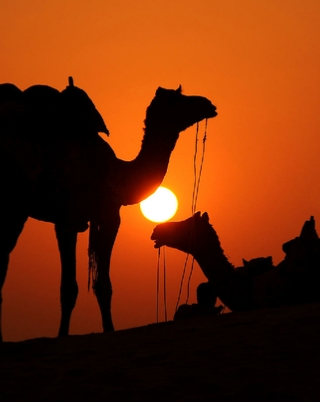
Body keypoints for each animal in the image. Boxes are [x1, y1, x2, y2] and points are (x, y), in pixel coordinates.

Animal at [0, 78, 218, 340]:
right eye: (179, 98)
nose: (208, 104)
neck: (121, 175)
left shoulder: (75, 220)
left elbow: (77, 286)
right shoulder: (96, 216)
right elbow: (92, 285)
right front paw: (101, 330)